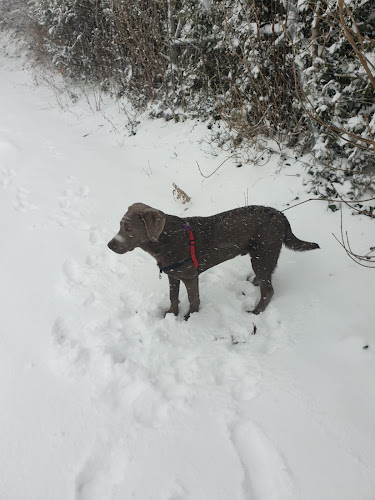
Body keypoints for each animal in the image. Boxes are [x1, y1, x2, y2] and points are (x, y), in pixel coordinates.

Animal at [108, 203, 320, 320]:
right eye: (120, 225)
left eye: (128, 228)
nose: (110, 245)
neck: (166, 240)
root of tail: (281, 215)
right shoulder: (173, 275)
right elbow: (173, 297)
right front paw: (170, 314)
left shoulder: (190, 276)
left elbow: (194, 299)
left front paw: (189, 318)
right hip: (261, 256)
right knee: (265, 279)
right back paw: (254, 283)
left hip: (264, 254)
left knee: (269, 290)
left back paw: (256, 312)